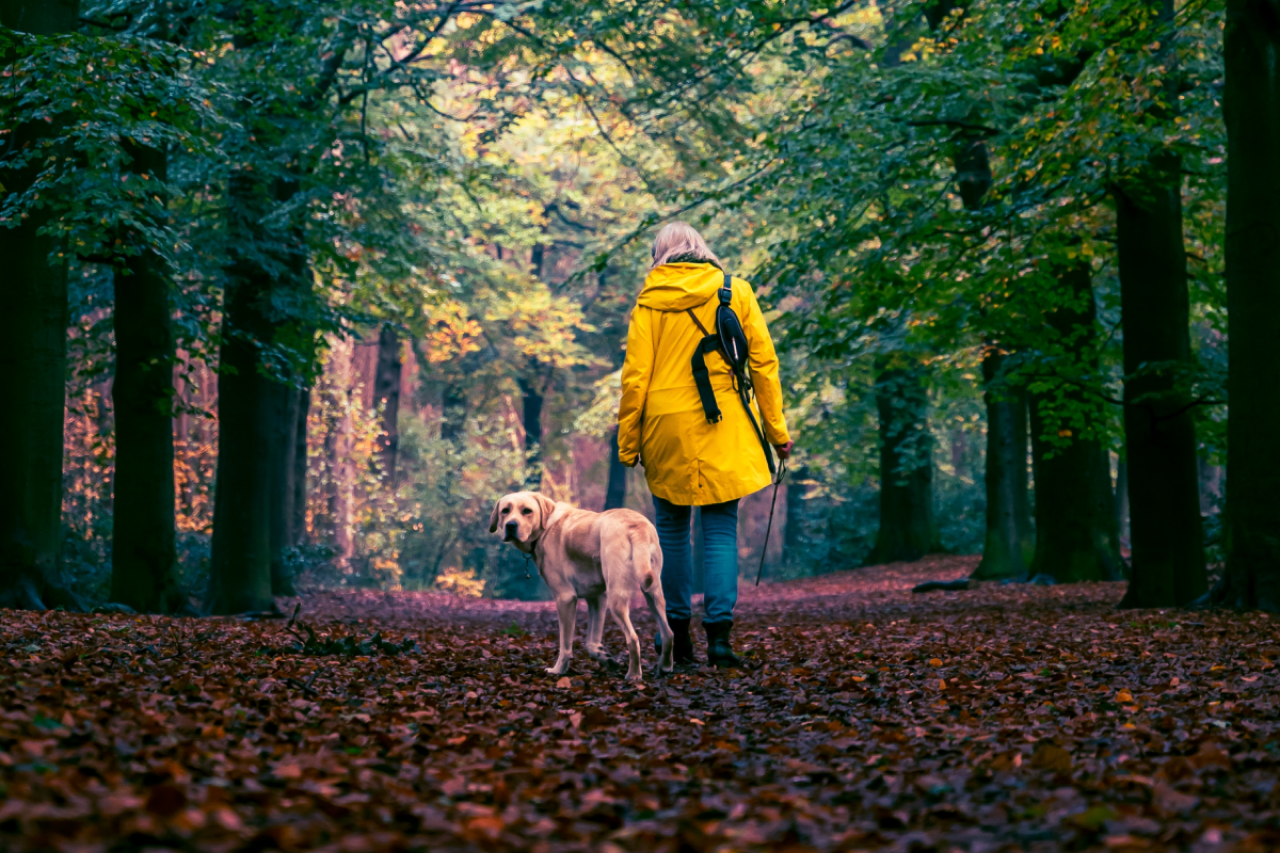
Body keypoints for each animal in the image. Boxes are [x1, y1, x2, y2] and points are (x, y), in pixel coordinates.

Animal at [486, 491, 675, 676]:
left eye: (527, 511)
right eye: (505, 511)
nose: (511, 525)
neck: (546, 527)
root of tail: (635, 525)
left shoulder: (565, 599)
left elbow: (565, 645)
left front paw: (558, 670)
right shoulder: (598, 598)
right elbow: (591, 642)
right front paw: (605, 658)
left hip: (617, 599)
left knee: (633, 638)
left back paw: (634, 676)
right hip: (653, 594)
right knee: (668, 633)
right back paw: (665, 667)